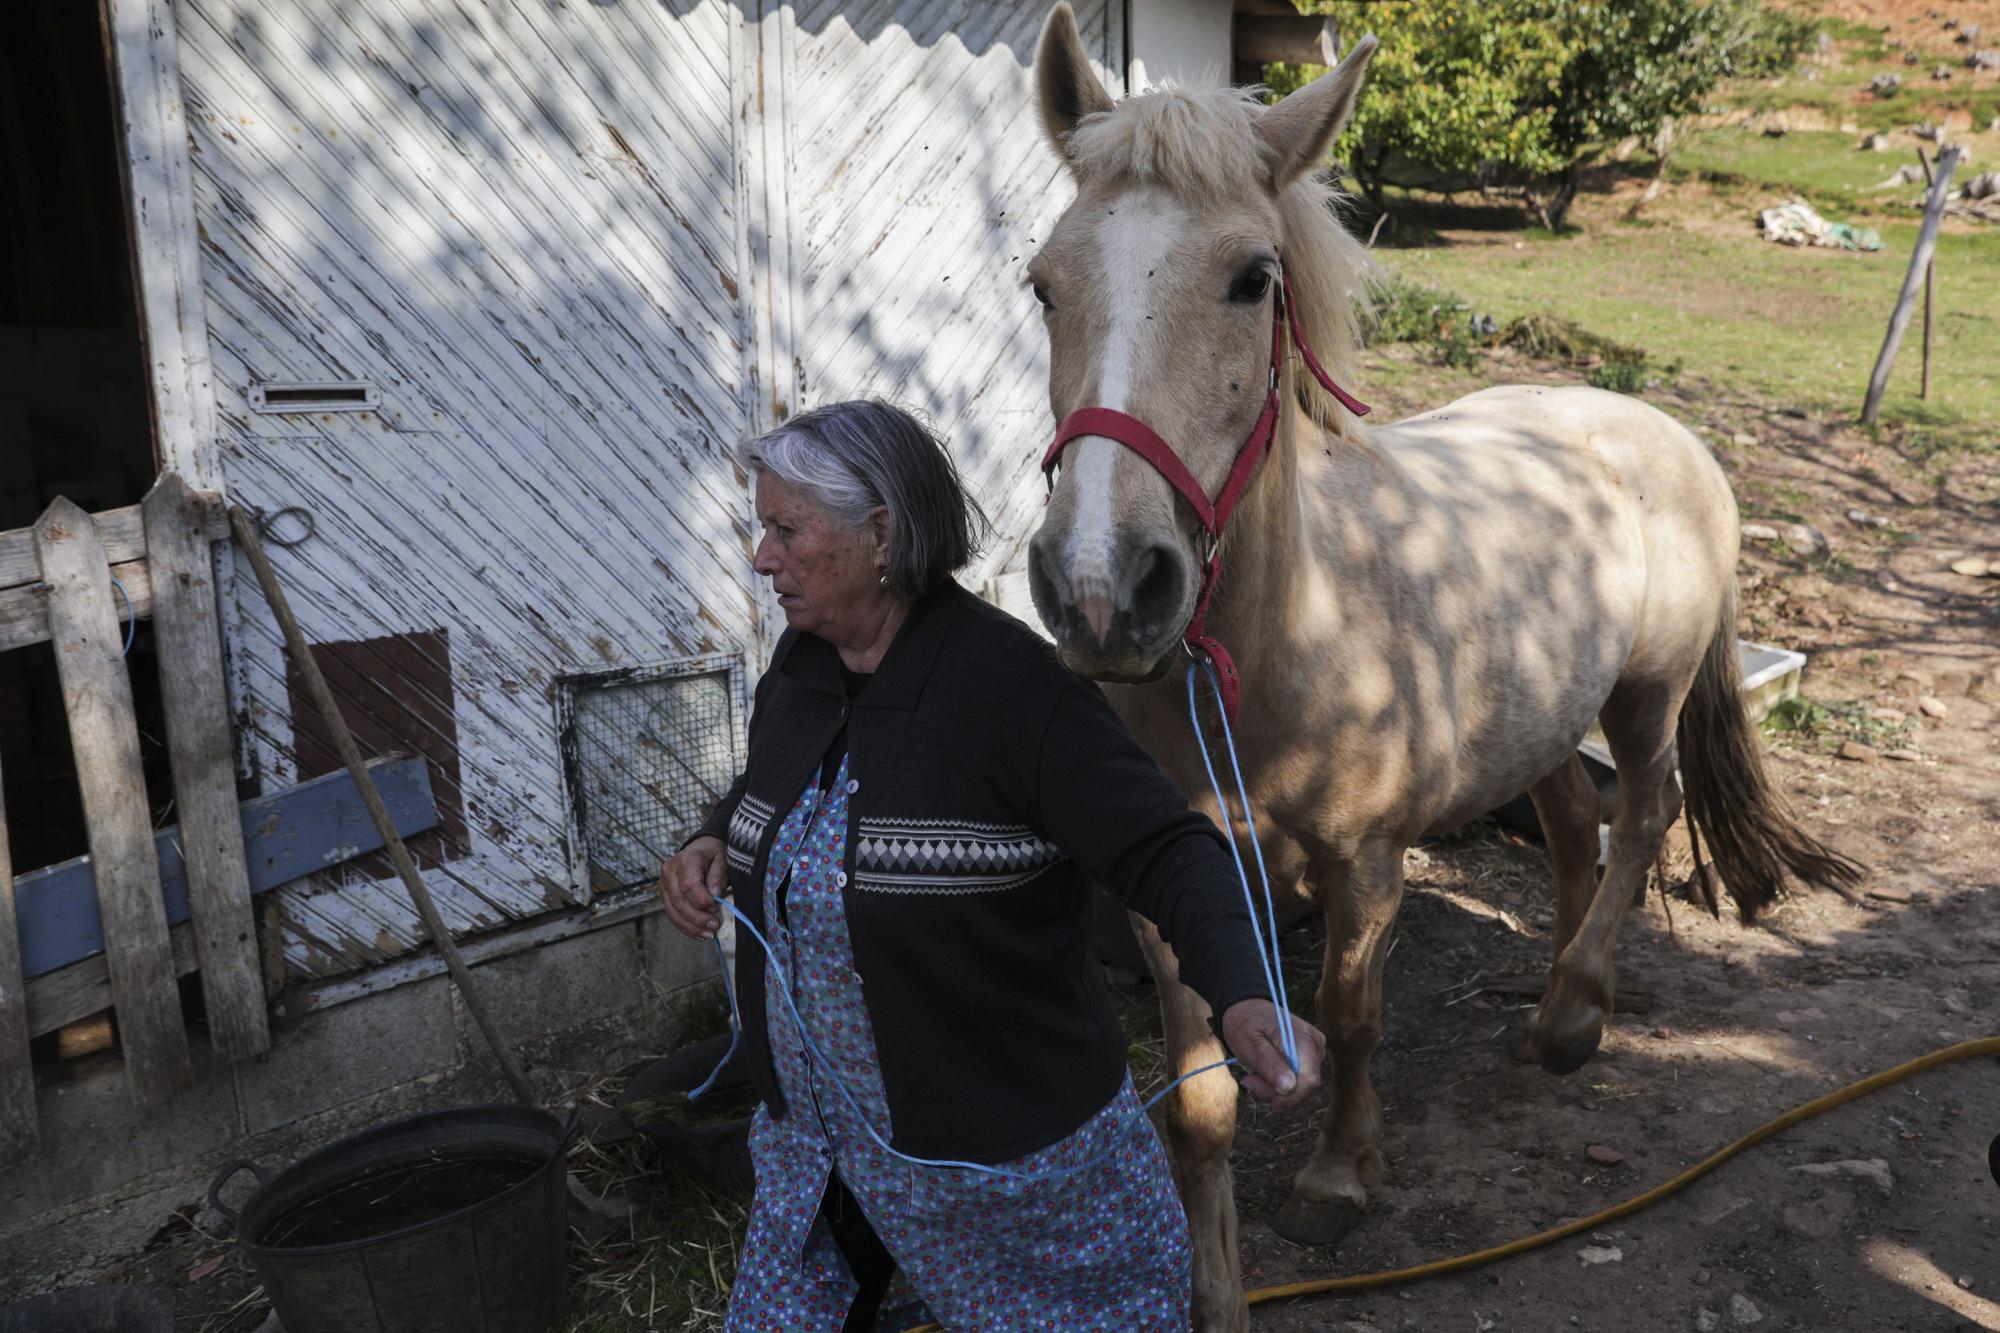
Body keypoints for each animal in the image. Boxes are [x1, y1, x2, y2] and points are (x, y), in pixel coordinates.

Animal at [1024, 5, 1864, 1320]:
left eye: (1251, 279)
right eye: (1043, 282)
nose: (1102, 589)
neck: (1284, 643)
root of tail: (1659, 429)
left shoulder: (1368, 865)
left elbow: (1350, 1012)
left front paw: (1336, 1175)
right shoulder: (1167, 881)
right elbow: (1199, 1102)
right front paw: (1213, 1291)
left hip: (1643, 696)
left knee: (1647, 810)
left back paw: (1574, 1016)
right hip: (1543, 719)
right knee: (1573, 830)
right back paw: (1560, 987)